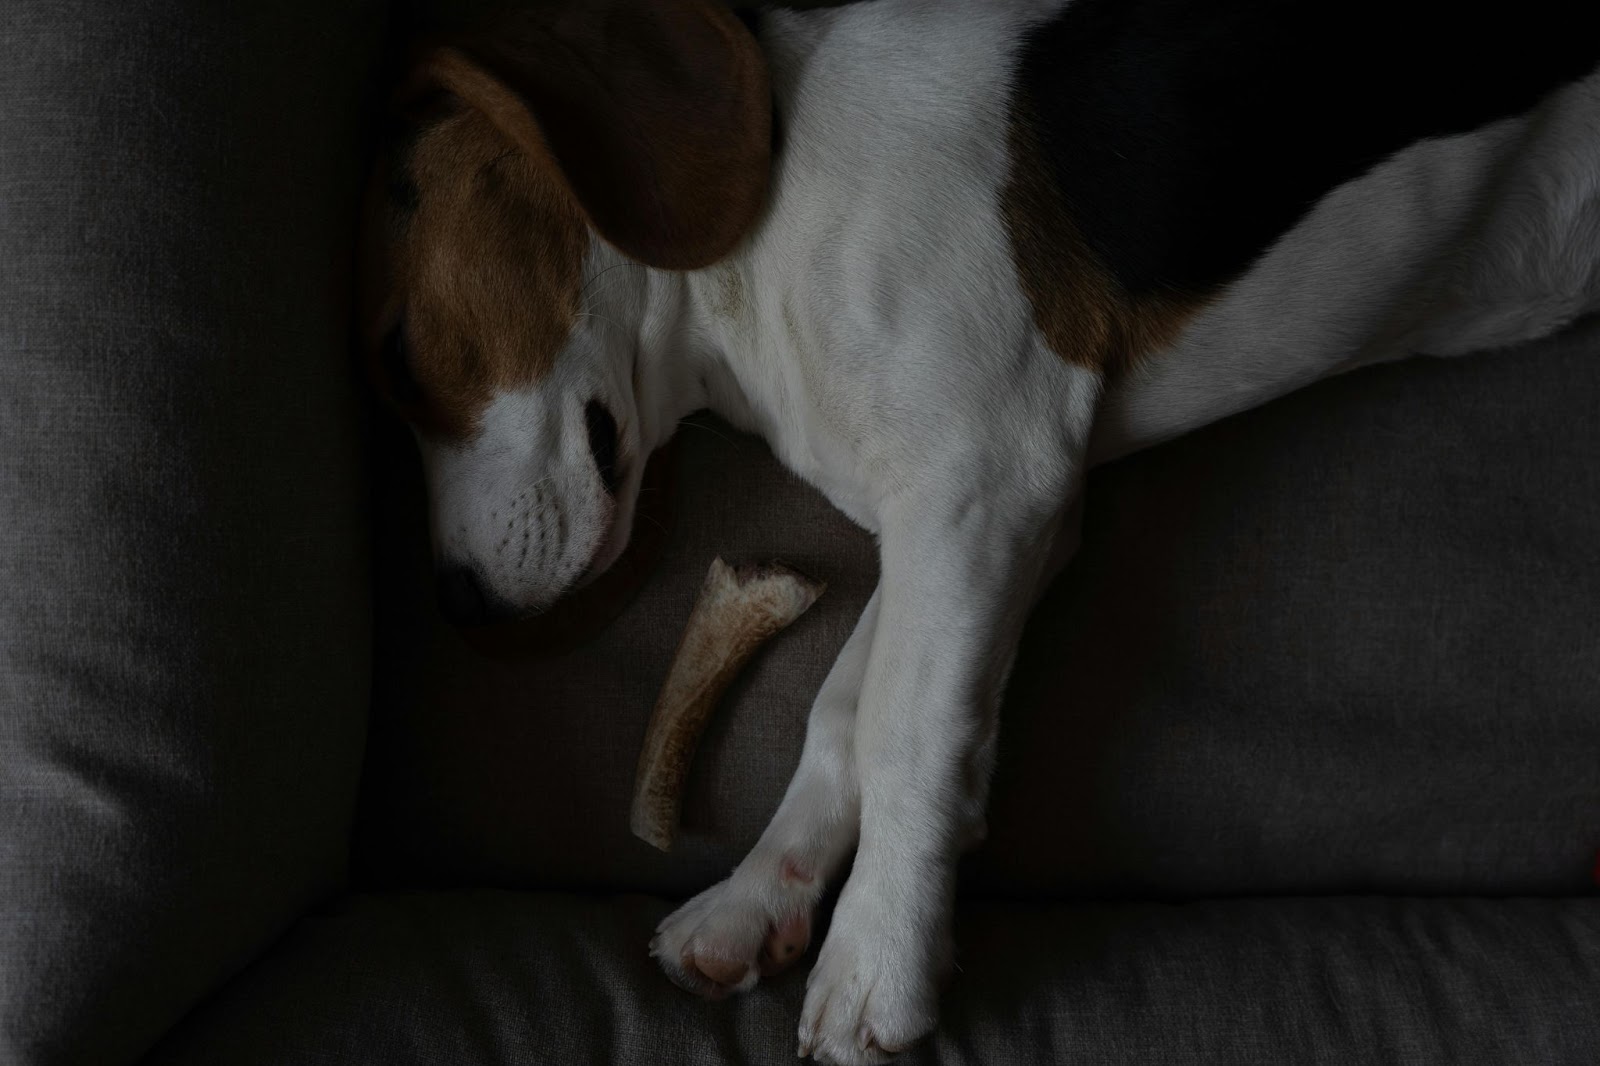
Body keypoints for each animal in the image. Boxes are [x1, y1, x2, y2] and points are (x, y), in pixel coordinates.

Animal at [363, 4, 1600, 1056]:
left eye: (398, 358)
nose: (458, 606)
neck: (761, 249)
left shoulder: (978, 482)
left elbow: (905, 732)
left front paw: (879, 956)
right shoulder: (984, 520)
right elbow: (845, 712)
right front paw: (764, 893)